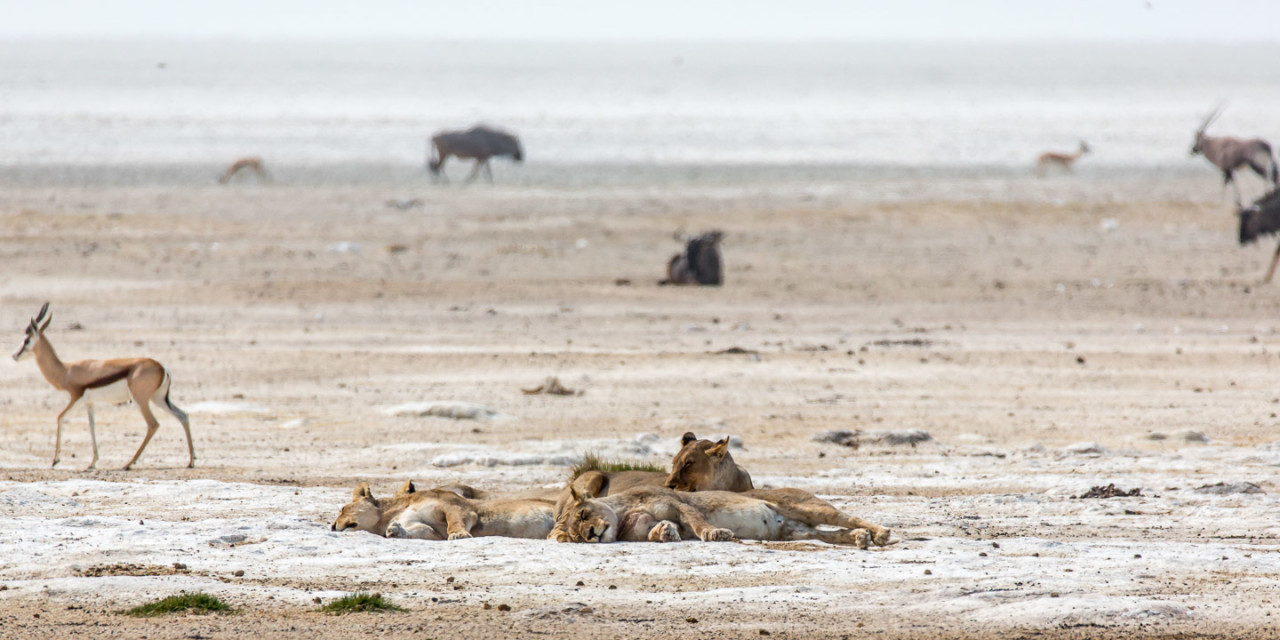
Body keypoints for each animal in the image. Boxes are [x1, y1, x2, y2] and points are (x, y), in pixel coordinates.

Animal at [332, 481, 552, 540]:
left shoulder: (455, 506)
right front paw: (394, 531)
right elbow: (421, 531)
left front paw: (459, 535)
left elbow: (454, 522)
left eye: (342, 509)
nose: (332, 526)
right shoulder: (427, 530)